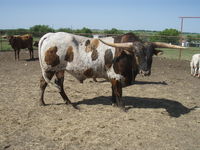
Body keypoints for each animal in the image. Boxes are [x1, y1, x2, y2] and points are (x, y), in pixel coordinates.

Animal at [38, 31, 184, 110]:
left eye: (151, 55)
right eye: (136, 54)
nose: (145, 72)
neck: (126, 54)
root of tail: (50, 35)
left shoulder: (113, 78)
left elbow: (113, 90)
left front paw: (114, 103)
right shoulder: (117, 76)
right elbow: (119, 92)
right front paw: (122, 107)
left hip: (60, 70)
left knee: (59, 85)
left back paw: (67, 102)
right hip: (49, 69)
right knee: (43, 83)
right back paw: (42, 102)